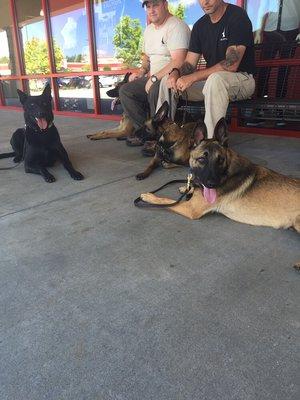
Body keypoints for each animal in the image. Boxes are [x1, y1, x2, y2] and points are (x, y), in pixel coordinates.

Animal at [141, 117, 300, 236]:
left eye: (221, 160)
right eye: (201, 159)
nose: (212, 184)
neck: (228, 171)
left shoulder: (190, 208)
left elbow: (166, 200)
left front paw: (149, 197)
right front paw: (186, 187)